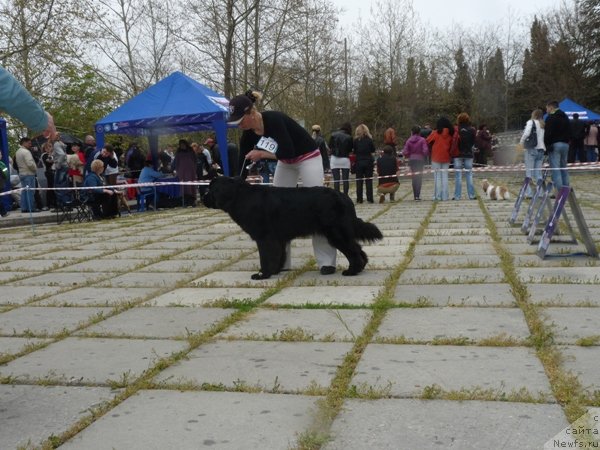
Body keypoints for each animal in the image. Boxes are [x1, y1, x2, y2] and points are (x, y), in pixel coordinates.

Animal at [202, 178, 380, 280]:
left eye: (210, 189)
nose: (203, 198)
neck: (240, 197)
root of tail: (344, 196)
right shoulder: (278, 239)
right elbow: (278, 256)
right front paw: (274, 271)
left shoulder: (265, 238)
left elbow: (266, 257)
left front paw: (262, 275)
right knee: (358, 248)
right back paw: (360, 268)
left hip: (336, 233)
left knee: (354, 250)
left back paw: (352, 271)